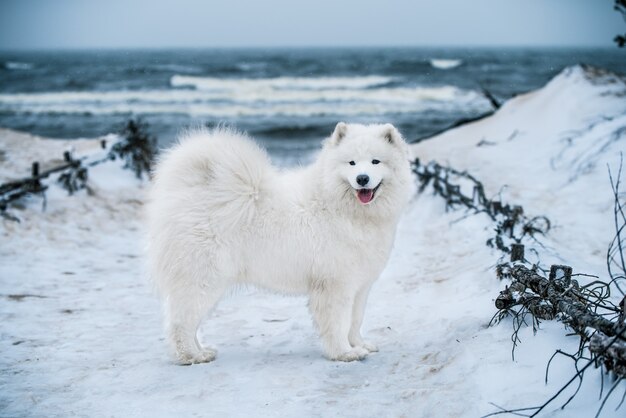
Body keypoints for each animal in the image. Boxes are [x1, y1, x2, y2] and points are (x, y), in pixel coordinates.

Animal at [146, 121, 410, 362]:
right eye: (352, 163)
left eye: (375, 162)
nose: (362, 179)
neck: (340, 208)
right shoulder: (335, 285)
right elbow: (338, 324)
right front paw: (344, 353)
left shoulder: (360, 286)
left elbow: (355, 322)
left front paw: (360, 345)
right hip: (202, 281)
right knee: (181, 323)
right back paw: (191, 355)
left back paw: (202, 350)